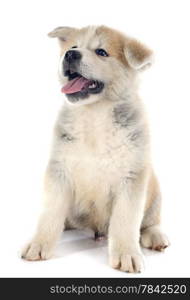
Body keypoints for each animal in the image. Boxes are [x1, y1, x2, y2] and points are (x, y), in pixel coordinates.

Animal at [22, 25, 169, 274]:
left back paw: (156, 236)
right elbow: (50, 214)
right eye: (73, 46)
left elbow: (125, 220)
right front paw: (39, 243)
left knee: (150, 222)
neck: (94, 113)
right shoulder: (59, 170)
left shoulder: (132, 177)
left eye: (101, 52)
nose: (70, 54)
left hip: (155, 189)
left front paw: (127, 254)